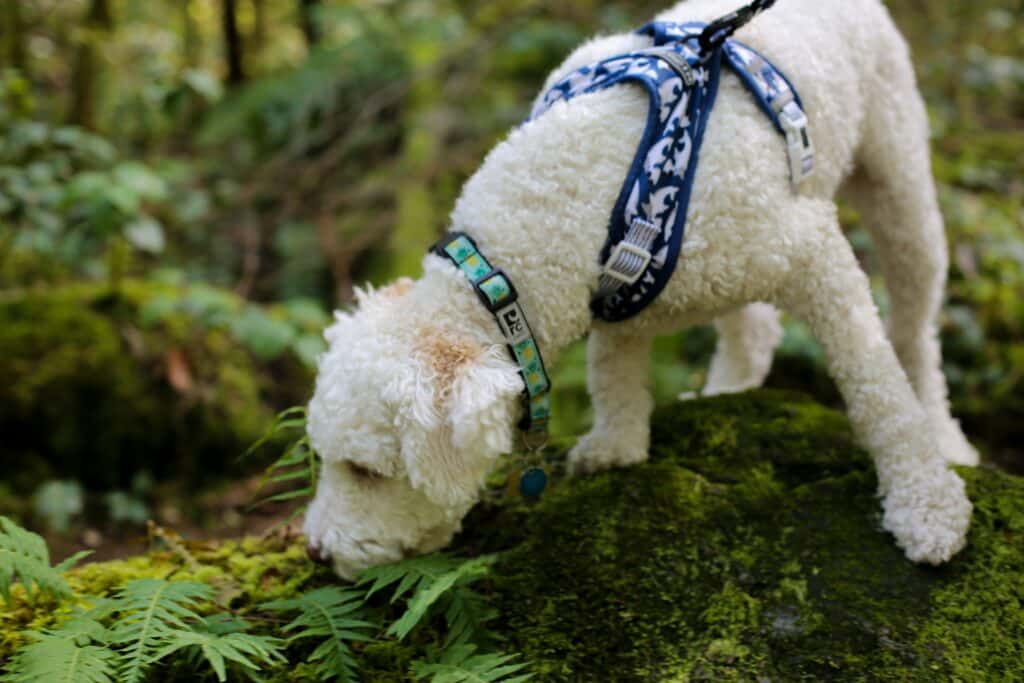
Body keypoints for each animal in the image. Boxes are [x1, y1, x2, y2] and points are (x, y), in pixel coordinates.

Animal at [301, 0, 974, 581]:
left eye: (366, 471)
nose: (314, 552)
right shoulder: (610, 295)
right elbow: (611, 368)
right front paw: (618, 442)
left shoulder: (813, 253)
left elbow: (877, 388)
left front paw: (925, 502)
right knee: (752, 328)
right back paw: (725, 390)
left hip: (898, 178)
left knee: (914, 330)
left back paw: (945, 438)